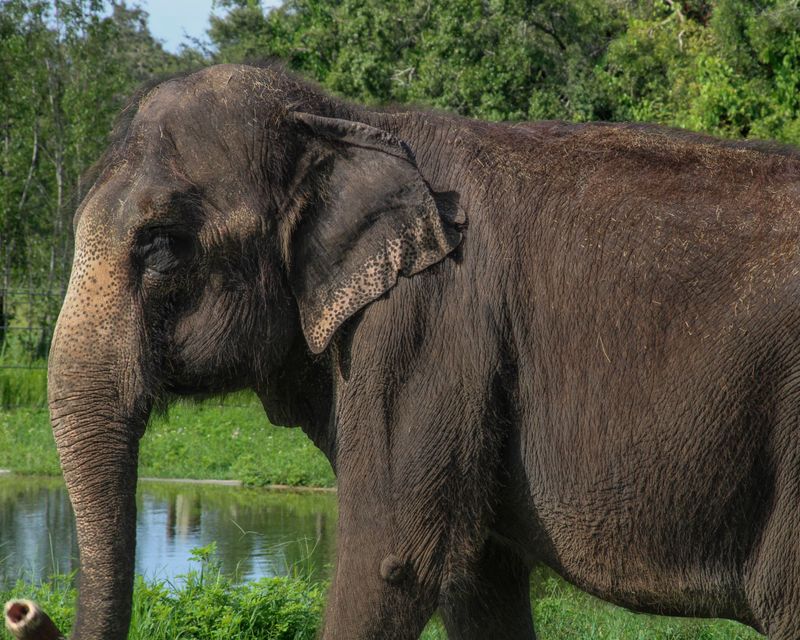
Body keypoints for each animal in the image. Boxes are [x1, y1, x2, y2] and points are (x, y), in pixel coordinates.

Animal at [6, 62, 800, 639]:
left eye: (162, 247)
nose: (21, 609)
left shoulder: (425, 331)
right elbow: (477, 577)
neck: (349, 122)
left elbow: (392, 559)